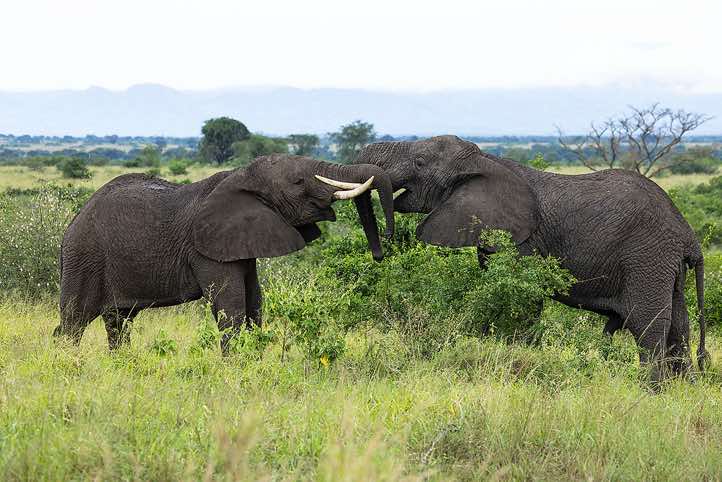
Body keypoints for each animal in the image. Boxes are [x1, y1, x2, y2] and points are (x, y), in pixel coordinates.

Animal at [55, 154, 395, 352]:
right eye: (299, 182)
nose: (382, 253)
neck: (240, 175)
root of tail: (69, 227)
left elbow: (255, 302)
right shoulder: (207, 250)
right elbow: (231, 307)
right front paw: (236, 367)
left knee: (118, 322)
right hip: (84, 257)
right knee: (73, 321)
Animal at [355, 135, 708, 382]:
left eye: (419, 162)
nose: (381, 248)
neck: (485, 160)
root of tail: (686, 232)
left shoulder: (523, 241)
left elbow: (522, 304)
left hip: (647, 257)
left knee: (647, 325)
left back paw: (649, 392)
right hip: (666, 264)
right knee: (679, 328)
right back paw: (682, 391)